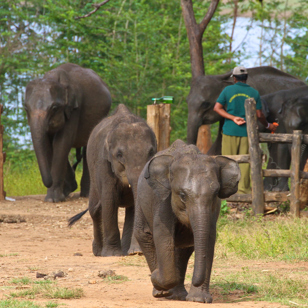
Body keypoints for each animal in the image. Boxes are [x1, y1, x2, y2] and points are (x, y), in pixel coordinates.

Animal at [25, 62, 112, 202]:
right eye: (26, 108)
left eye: (54, 108)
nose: (48, 182)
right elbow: (49, 144)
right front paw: (62, 193)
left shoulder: (74, 109)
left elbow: (62, 142)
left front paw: (53, 199)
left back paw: (86, 194)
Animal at [69, 104, 158, 256]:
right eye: (119, 154)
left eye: (151, 152)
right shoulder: (104, 164)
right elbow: (109, 199)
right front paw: (112, 254)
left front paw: (136, 252)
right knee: (95, 209)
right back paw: (98, 251)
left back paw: (127, 250)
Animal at [134, 140, 241, 304]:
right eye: (182, 195)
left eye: (216, 193)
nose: (154, 276)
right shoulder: (163, 199)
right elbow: (163, 236)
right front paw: (157, 278)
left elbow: (209, 238)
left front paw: (199, 300)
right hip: (140, 201)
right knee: (144, 235)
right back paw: (161, 292)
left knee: (183, 247)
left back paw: (176, 295)